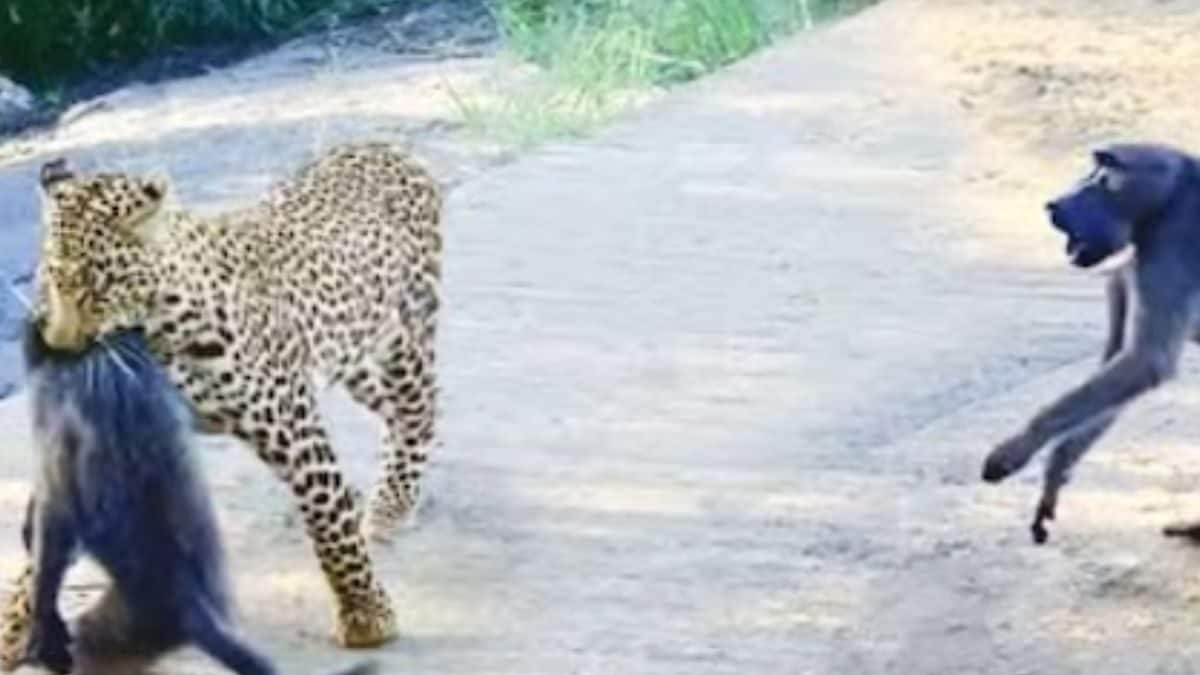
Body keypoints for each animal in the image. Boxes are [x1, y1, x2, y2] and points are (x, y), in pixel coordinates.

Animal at [981, 142, 1200, 545]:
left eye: (1099, 174)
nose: (1053, 205)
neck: (1172, 192)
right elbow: (1128, 368)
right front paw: (1057, 466)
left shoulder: (1170, 244)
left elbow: (1146, 362)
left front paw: (1017, 449)